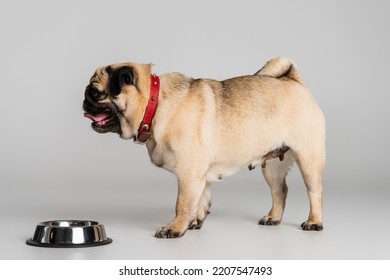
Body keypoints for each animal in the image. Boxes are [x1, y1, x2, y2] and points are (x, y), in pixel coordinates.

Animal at [83, 57, 326, 238]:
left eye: (95, 93)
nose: (84, 101)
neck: (156, 103)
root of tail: (295, 81)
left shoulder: (188, 173)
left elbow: (183, 203)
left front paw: (174, 228)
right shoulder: (201, 176)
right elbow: (200, 200)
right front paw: (194, 222)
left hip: (308, 158)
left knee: (315, 191)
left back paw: (314, 222)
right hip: (272, 166)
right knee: (280, 191)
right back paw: (273, 218)